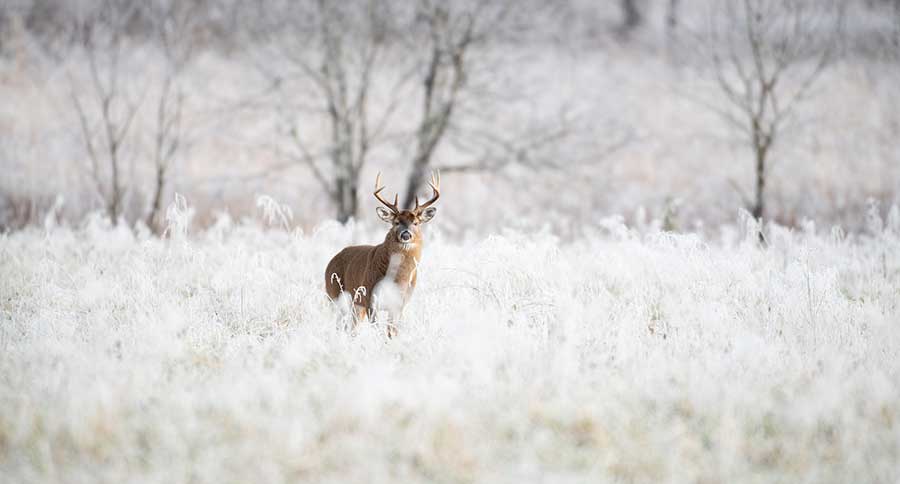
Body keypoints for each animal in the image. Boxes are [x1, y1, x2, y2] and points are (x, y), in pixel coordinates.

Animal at [324, 171, 440, 336]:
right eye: (396, 222)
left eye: (416, 223)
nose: (406, 234)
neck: (398, 278)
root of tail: (331, 261)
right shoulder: (370, 298)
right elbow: (379, 332)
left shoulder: (399, 304)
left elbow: (391, 332)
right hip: (335, 295)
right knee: (339, 324)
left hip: (355, 304)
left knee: (351, 328)